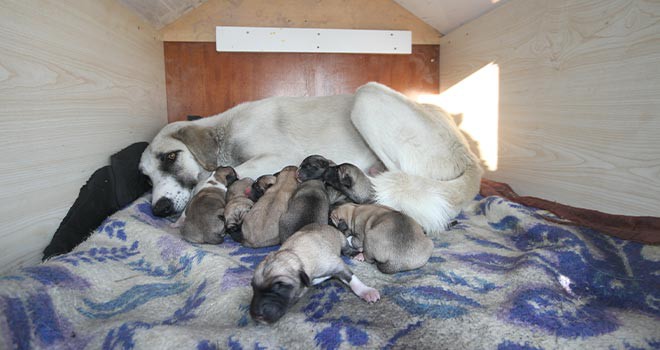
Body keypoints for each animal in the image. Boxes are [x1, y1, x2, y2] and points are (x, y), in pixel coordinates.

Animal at [139, 82, 482, 234]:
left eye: (171, 156)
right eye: (146, 177)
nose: (159, 209)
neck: (227, 130)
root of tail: (471, 158)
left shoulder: (279, 154)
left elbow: (214, 177)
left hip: (367, 96)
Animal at [249, 223, 382, 324]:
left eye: (279, 286)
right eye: (253, 287)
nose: (256, 315)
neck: (295, 254)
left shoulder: (337, 265)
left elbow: (352, 278)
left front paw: (366, 291)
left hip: (341, 239)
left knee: (346, 248)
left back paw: (357, 254)